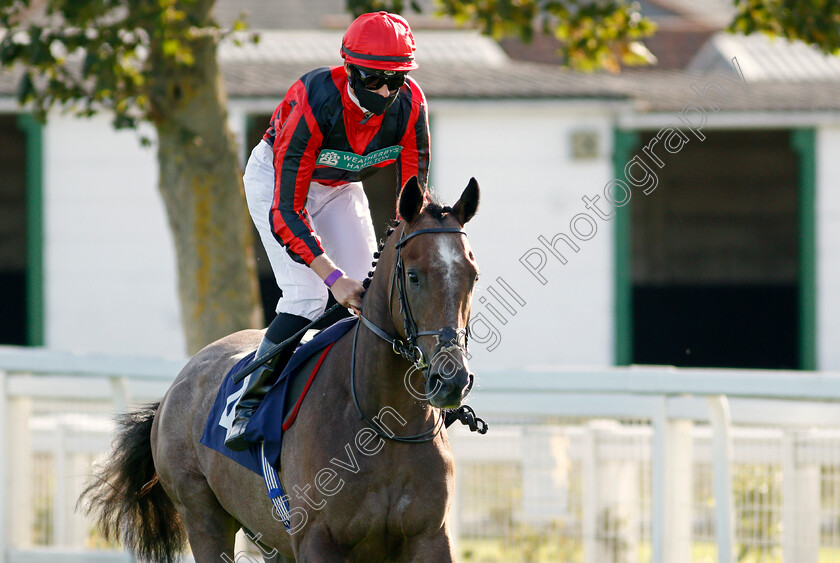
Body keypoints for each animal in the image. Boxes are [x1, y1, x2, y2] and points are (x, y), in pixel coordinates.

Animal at [82, 175, 482, 560]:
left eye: (473, 276)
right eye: (414, 275)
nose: (452, 380)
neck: (382, 423)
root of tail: (174, 387)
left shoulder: (430, 536)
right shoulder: (317, 539)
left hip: (267, 536)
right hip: (201, 513)